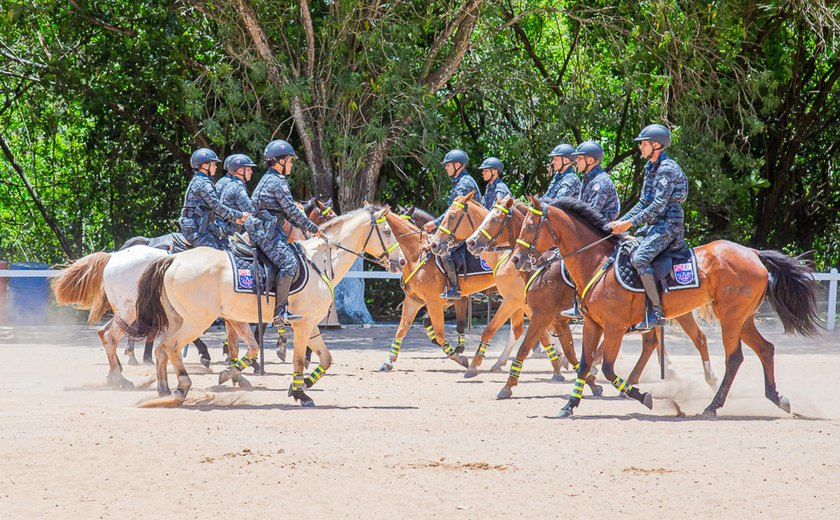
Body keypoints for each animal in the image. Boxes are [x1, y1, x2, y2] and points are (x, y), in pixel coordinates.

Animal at [120, 205, 404, 408]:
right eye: (387, 231)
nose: (401, 262)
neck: (320, 261)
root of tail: (173, 259)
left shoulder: (311, 324)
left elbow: (325, 358)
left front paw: (302, 386)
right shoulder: (301, 324)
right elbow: (297, 358)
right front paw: (300, 394)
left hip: (179, 319)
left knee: (162, 349)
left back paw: (164, 390)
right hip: (196, 321)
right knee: (171, 346)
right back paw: (182, 387)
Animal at [426, 191, 564, 382]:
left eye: (452, 216)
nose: (434, 244)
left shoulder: (514, 301)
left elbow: (492, 329)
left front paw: (474, 365)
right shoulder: (522, 304)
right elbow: (537, 333)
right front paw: (557, 365)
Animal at [456, 194, 720, 398]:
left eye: (496, 219)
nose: (472, 243)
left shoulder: (541, 313)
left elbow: (523, 344)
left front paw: (505, 385)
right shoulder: (554, 319)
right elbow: (570, 353)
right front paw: (585, 381)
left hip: (675, 312)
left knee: (695, 339)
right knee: (654, 343)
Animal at [508, 195, 816, 418]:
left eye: (531, 225)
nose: (516, 260)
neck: (598, 263)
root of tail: (752, 253)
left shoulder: (614, 328)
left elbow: (606, 368)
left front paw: (642, 396)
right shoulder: (593, 325)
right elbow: (584, 364)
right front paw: (569, 406)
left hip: (730, 319)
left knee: (734, 358)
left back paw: (712, 407)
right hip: (743, 319)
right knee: (765, 349)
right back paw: (777, 398)